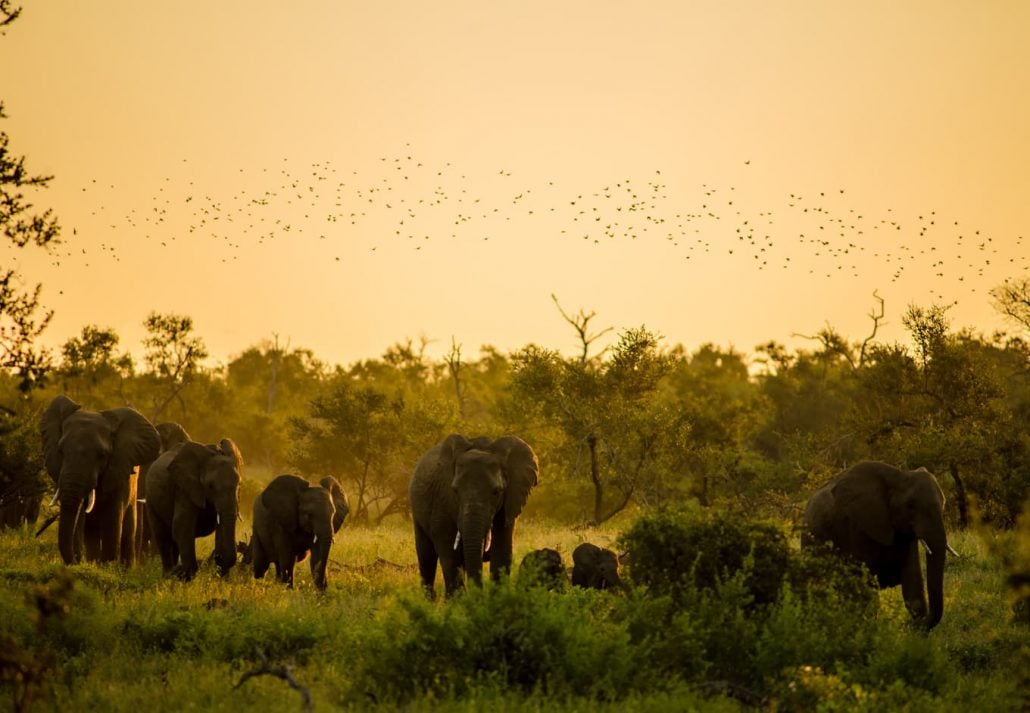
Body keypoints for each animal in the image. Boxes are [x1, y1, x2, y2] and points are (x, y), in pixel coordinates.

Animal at [41, 393, 160, 564]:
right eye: (61, 450)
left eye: (102, 455)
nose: (76, 561)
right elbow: (81, 520)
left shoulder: (118, 470)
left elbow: (112, 518)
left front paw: (109, 566)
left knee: (127, 531)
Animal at [145, 434, 243, 581]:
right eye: (210, 486)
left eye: (239, 485)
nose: (218, 558)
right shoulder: (184, 488)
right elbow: (182, 524)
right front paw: (184, 576)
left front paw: (223, 579)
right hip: (151, 499)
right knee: (163, 536)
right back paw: (168, 576)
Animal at [407, 434, 543, 597]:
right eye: (455, 490)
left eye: (496, 492)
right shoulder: (442, 501)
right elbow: (450, 555)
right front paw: (459, 602)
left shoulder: (508, 504)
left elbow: (502, 552)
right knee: (426, 557)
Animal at [803, 461, 955, 630]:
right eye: (910, 505)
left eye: (943, 504)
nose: (908, 625)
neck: (900, 475)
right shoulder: (857, 526)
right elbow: (865, 589)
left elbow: (912, 586)